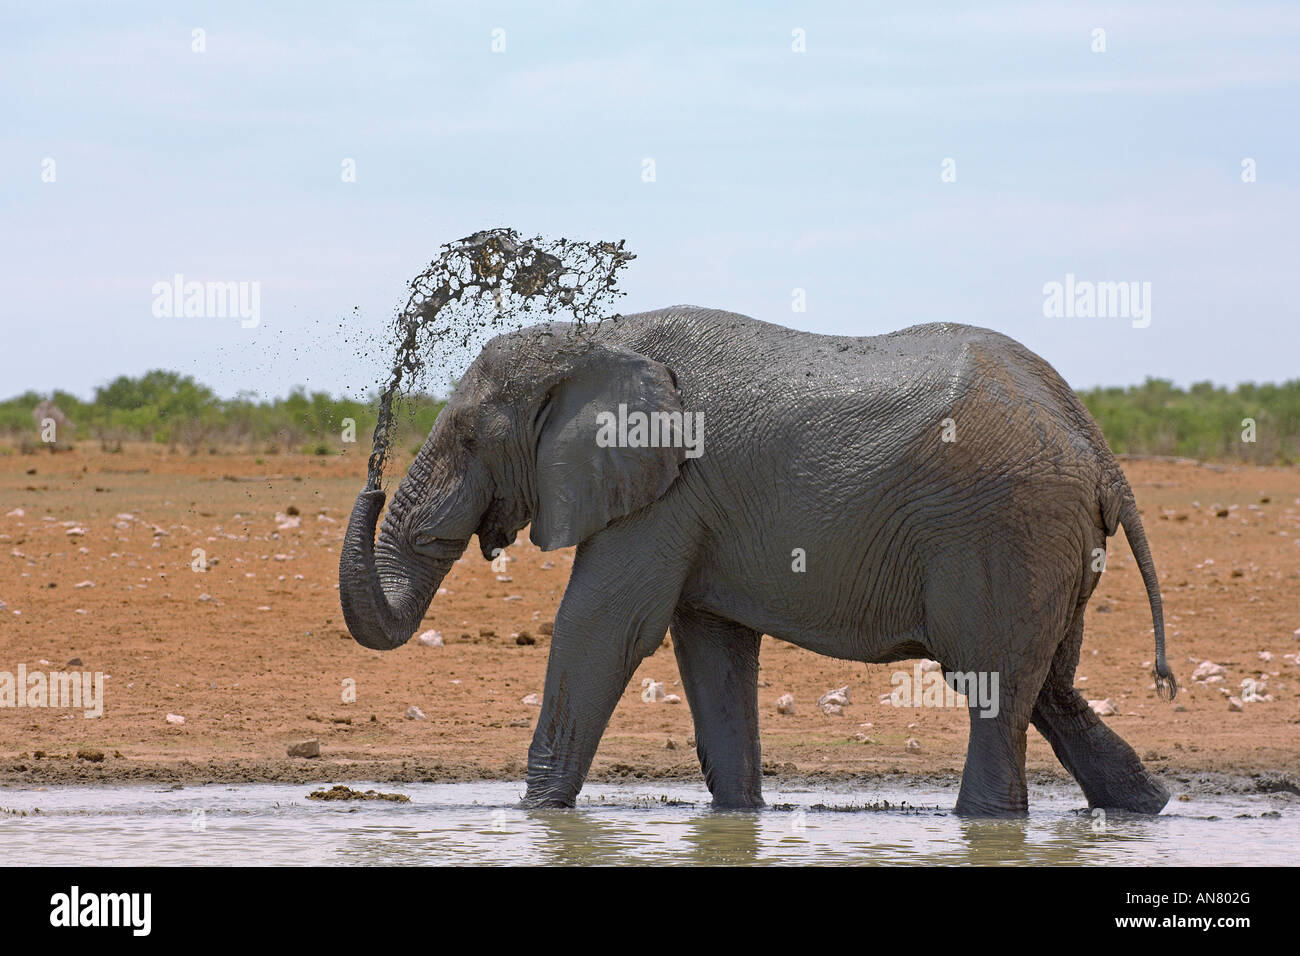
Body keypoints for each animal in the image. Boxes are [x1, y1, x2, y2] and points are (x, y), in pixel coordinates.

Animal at [338, 306, 1180, 816]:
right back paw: (1148, 805)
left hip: (1005, 528)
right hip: (1048, 540)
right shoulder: (691, 508)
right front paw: (738, 817)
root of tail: (1096, 445)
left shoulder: (664, 492)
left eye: (468, 438)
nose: (372, 467)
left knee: (995, 687)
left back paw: (990, 822)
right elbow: (711, 649)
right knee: (1051, 686)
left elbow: (603, 629)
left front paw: (537, 814)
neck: (597, 337)